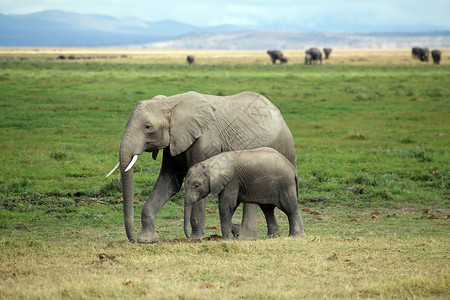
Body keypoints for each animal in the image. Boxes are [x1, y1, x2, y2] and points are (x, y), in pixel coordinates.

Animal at [107, 90, 298, 243]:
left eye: (148, 127)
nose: (132, 240)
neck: (170, 103)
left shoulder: (205, 141)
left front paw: (196, 238)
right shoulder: (174, 142)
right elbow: (169, 182)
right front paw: (147, 240)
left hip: (284, 146)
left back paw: (244, 237)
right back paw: (245, 236)